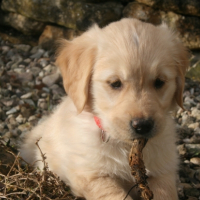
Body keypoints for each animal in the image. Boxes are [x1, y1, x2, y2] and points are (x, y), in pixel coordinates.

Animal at [20, 18, 189, 199]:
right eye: (115, 83)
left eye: (159, 82)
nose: (142, 126)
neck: (125, 145)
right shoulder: (89, 174)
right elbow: (113, 194)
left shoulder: (163, 171)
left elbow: (165, 192)